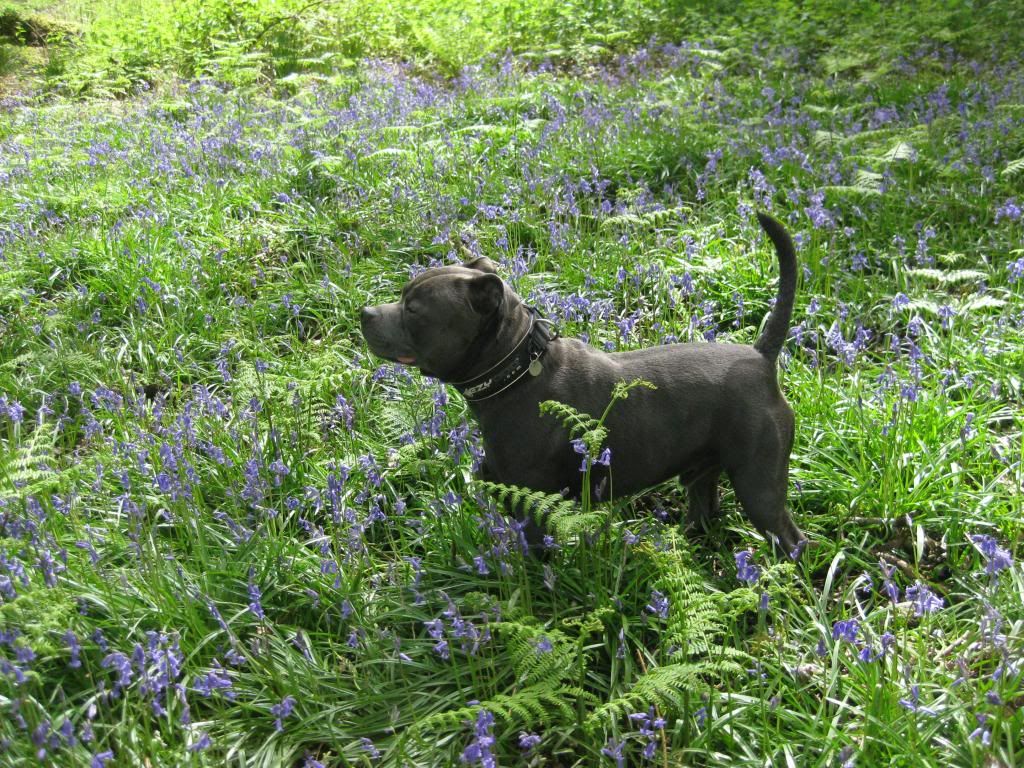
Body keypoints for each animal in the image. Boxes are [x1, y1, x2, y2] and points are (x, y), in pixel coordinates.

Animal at [362, 214, 806, 557]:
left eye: (413, 310)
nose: (364, 312)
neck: (516, 370)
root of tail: (762, 357)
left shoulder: (535, 510)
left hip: (758, 484)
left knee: (793, 540)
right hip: (701, 473)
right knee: (703, 513)